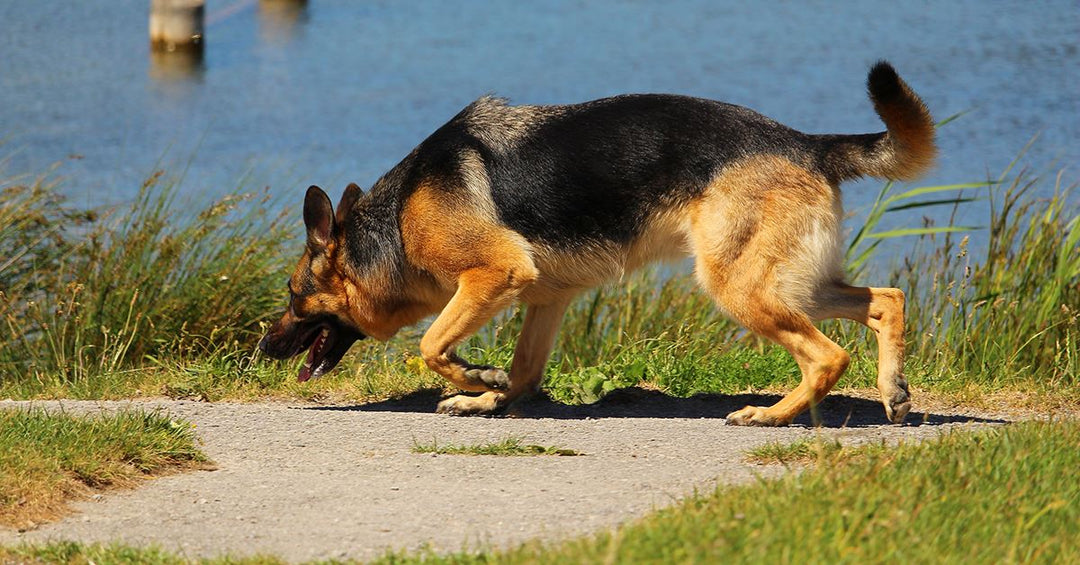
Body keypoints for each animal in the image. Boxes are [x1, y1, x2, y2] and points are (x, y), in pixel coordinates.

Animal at [257, 61, 933, 423]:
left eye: (292, 296)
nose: (261, 348)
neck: (395, 220)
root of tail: (808, 142)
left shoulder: (494, 275)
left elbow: (431, 344)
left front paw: (476, 380)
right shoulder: (544, 297)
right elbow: (524, 368)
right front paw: (488, 397)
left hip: (740, 286)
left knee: (827, 356)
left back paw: (770, 415)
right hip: (795, 284)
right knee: (886, 300)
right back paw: (894, 392)